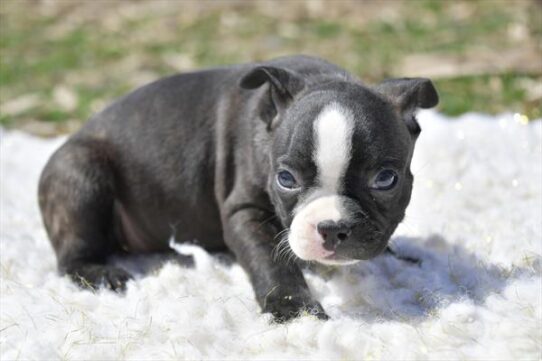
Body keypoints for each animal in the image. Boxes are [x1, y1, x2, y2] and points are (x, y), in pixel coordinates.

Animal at [38, 55, 440, 320]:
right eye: (286, 179)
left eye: (385, 179)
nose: (332, 228)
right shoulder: (245, 212)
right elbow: (271, 261)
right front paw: (295, 311)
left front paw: (397, 254)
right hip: (80, 175)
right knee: (72, 254)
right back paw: (101, 274)